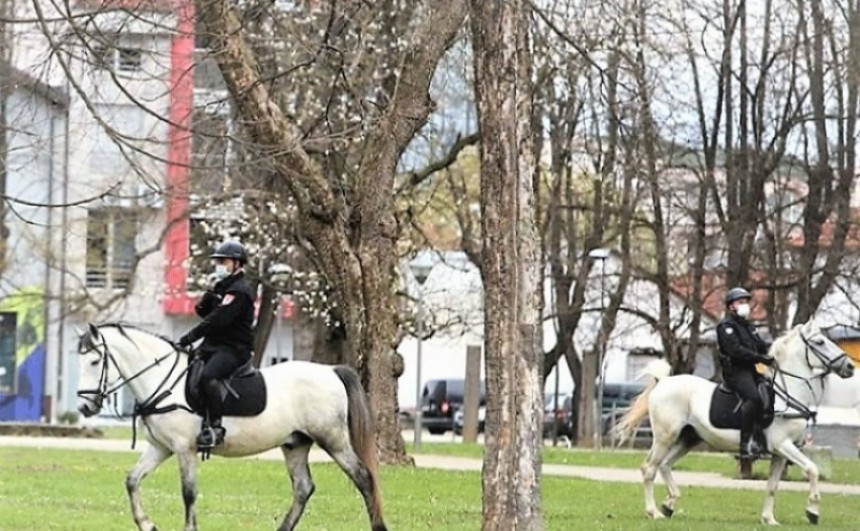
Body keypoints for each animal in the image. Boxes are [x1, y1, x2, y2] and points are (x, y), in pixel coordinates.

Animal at [75, 324, 384, 531]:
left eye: (95, 361)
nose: (85, 407)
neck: (163, 382)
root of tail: (330, 370)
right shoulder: (161, 448)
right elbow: (132, 480)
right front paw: (147, 524)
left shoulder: (184, 449)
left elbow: (188, 493)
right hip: (295, 444)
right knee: (303, 488)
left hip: (333, 440)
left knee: (363, 478)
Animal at [620, 318, 852, 524]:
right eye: (820, 342)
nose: (849, 366)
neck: (788, 394)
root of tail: (663, 382)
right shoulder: (783, 445)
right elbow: (812, 469)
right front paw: (813, 511)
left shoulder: (780, 454)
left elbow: (772, 486)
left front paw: (769, 518)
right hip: (665, 438)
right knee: (649, 469)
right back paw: (653, 512)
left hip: (688, 439)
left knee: (665, 466)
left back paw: (669, 504)